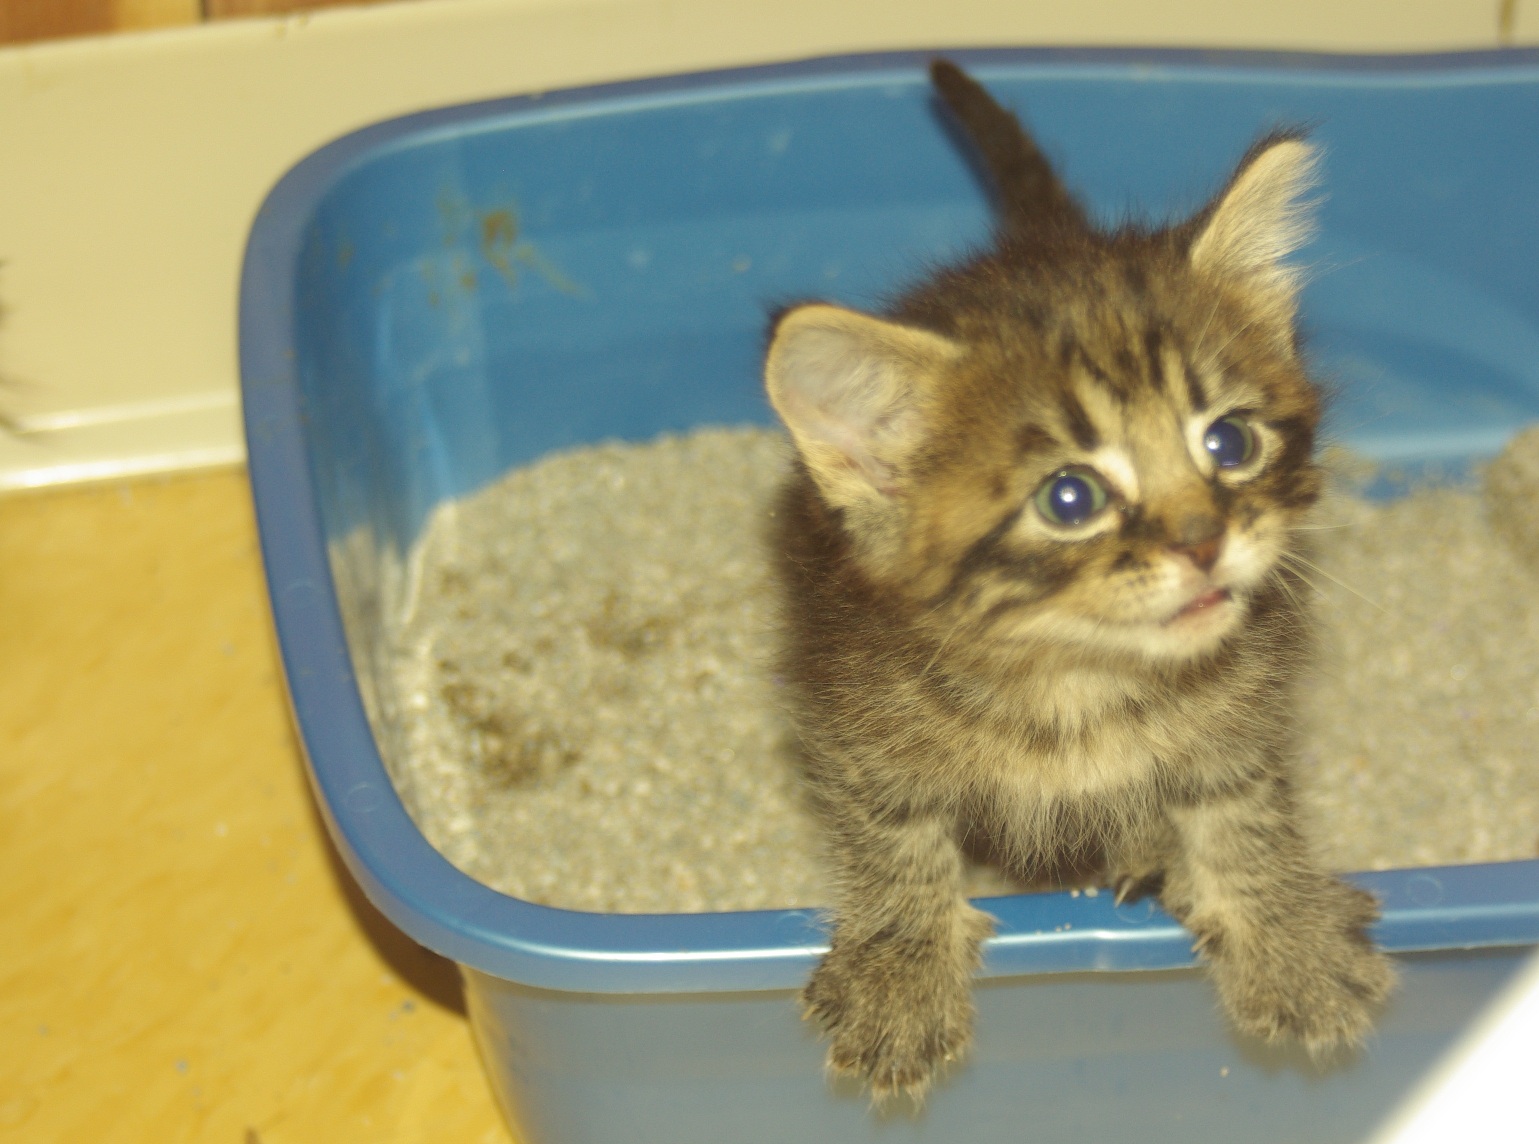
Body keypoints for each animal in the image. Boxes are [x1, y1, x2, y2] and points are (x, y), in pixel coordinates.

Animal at [763, 59, 1395, 1101]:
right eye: (1071, 498)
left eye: (1229, 442)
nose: (1204, 541)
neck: (1076, 681)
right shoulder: (848, 702)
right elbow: (891, 826)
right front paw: (900, 972)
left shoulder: (1244, 702)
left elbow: (1240, 803)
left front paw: (1285, 933)